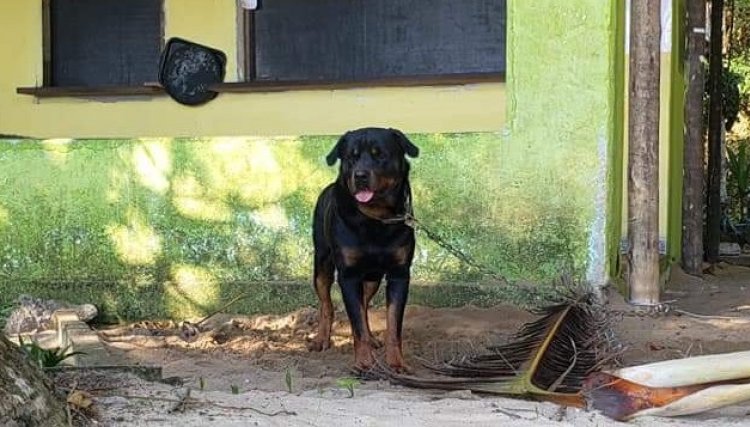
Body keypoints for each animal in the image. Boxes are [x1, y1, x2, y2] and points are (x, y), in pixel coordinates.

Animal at [308, 127, 420, 374]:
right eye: (351, 157)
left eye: (380, 155)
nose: (359, 175)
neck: (376, 219)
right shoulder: (349, 276)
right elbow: (356, 323)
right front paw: (363, 363)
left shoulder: (399, 274)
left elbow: (393, 324)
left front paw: (396, 362)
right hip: (322, 264)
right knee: (326, 304)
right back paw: (321, 339)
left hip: (372, 278)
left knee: (365, 305)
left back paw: (372, 338)